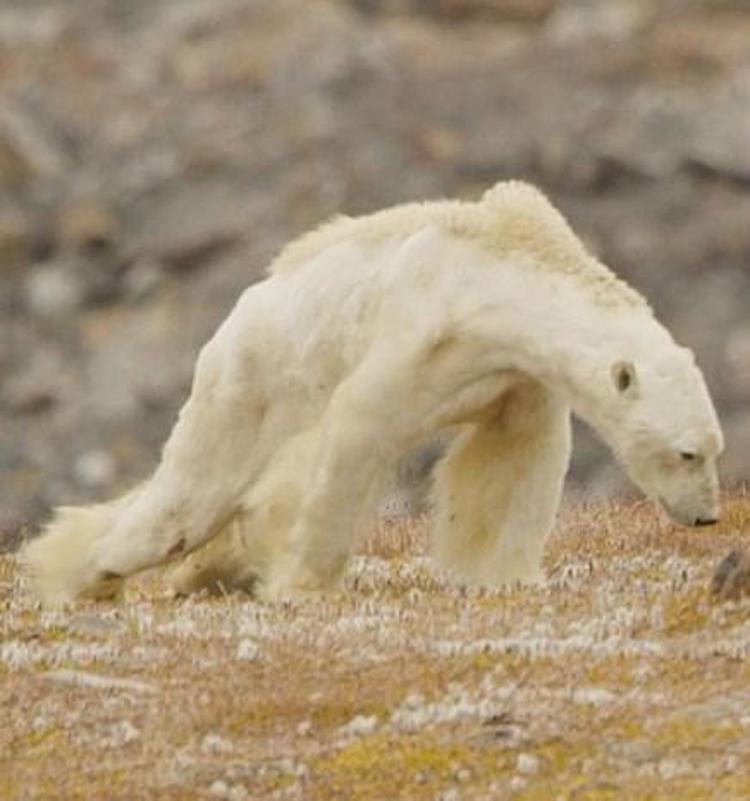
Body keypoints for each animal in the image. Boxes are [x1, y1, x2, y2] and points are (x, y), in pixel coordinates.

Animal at [25, 183, 724, 608]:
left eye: (714, 449)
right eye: (687, 453)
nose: (708, 516)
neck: (499, 272)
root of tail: (235, 316)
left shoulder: (513, 374)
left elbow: (512, 460)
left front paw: (506, 574)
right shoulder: (420, 329)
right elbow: (356, 432)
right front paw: (300, 582)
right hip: (248, 386)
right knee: (186, 502)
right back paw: (84, 573)